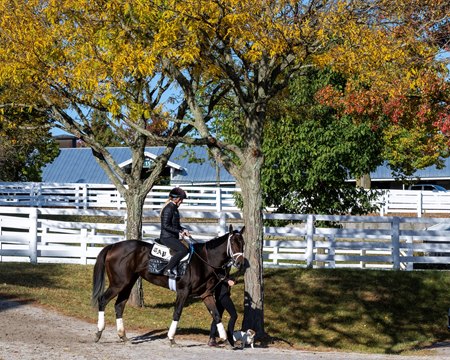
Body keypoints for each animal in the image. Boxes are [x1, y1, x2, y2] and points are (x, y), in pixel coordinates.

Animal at [91, 225, 244, 346]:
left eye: (242, 243)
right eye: (233, 243)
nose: (240, 263)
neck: (204, 260)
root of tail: (113, 246)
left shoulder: (206, 294)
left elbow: (216, 314)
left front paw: (225, 339)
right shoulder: (183, 292)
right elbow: (177, 312)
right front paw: (171, 338)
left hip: (127, 284)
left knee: (119, 306)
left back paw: (122, 336)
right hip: (118, 283)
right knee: (102, 300)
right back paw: (98, 332)